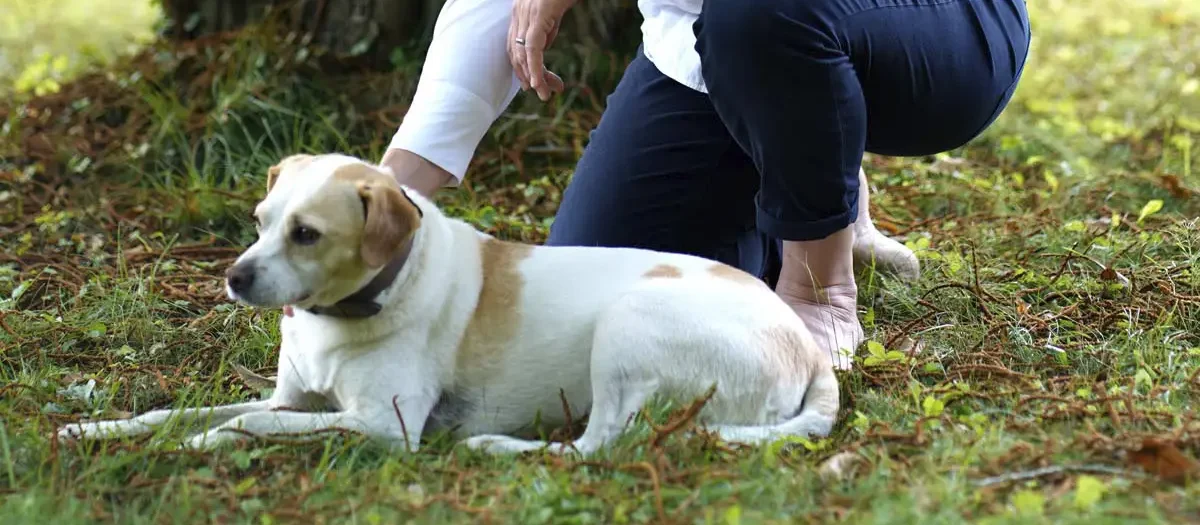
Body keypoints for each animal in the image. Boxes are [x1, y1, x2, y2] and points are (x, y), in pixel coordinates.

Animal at [58, 152, 844, 455]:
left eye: (306, 233)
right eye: (259, 219)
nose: (233, 277)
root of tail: (805, 348)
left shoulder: (382, 425)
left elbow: (248, 422)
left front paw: (206, 443)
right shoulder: (294, 400)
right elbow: (174, 411)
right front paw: (96, 428)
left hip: (630, 325)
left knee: (598, 446)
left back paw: (500, 447)